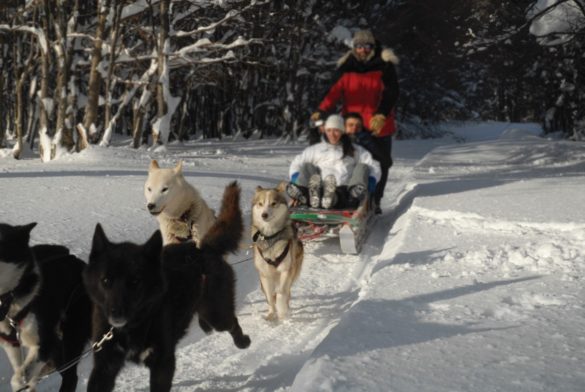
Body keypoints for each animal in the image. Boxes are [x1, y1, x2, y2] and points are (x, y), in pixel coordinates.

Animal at [0, 224, 90, 392]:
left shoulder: (46, 341)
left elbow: (19, 379)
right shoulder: (11, 344)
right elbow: (20, 372)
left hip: (71, 334)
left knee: (71, 376)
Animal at [84, 182, 251, 392]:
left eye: (135, 281)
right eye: (105, 280)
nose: (116, 313)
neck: (133, 327)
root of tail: (203, 249)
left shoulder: (163, 362)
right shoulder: (105, 366)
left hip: (217, 314)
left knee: (232, 322)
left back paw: (243, 341)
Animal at [251, 182, 304, 320]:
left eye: (273, 203)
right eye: (260, 203)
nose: (264, 215)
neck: (271, 237)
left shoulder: (286, 270)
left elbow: (281, 292)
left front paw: (282, 310)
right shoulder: (265, 275)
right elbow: (270, 297)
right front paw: (271, 313)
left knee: (286, 292)